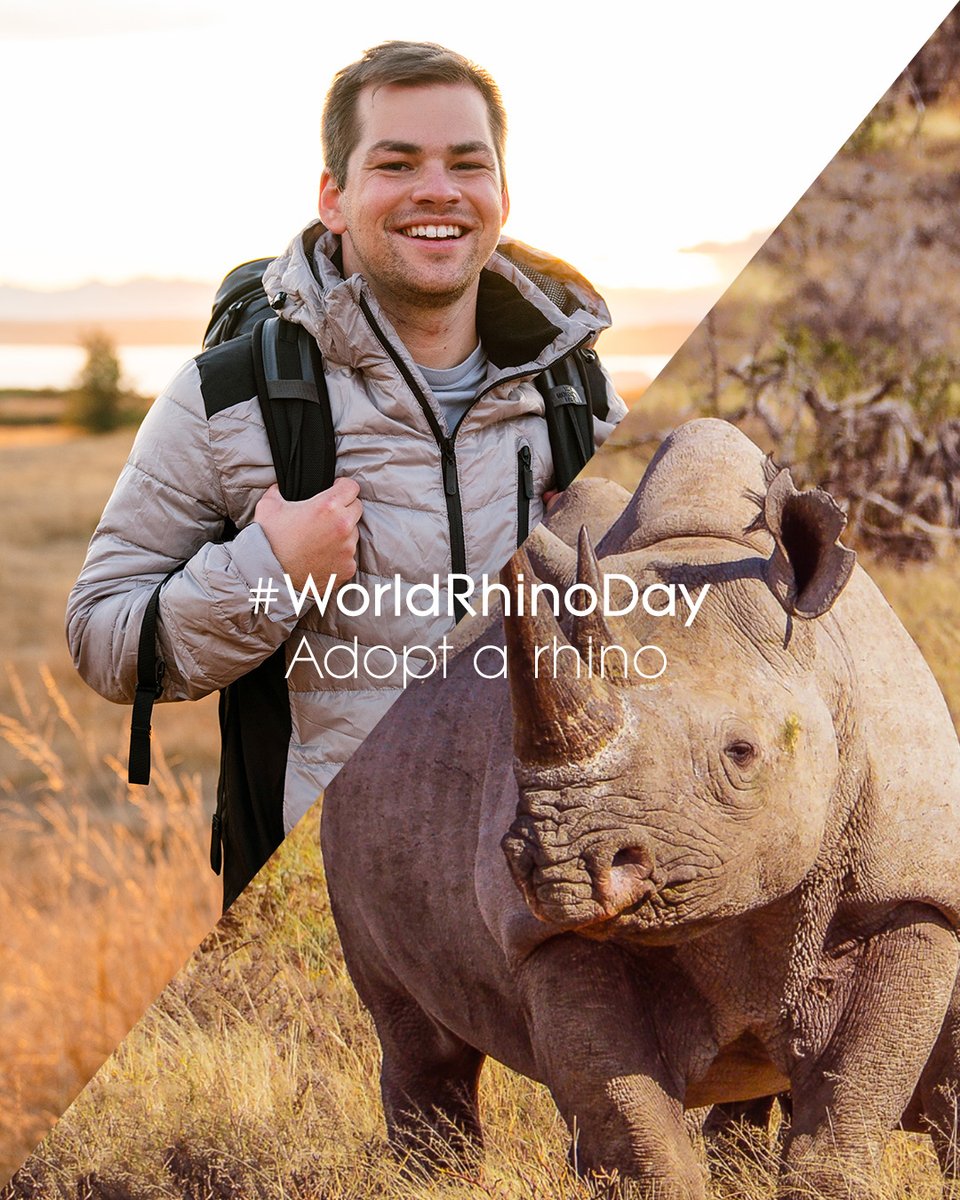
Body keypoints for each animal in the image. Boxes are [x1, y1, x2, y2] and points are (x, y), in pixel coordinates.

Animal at [321, 418, 960, 1198]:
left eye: (741, 753)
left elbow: (845, 1116)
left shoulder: (910, 891)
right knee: (418, 1038)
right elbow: (633, 1130)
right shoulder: (545, 935)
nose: (563, 867)